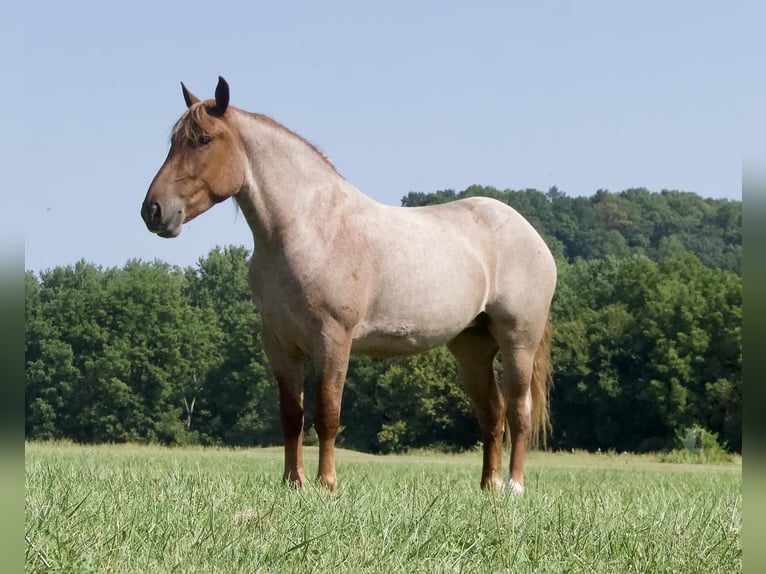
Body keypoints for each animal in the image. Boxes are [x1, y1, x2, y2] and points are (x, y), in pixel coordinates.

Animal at [141, 76, 560, 496]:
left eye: (203, 140)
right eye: (174, 141)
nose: (153, 211)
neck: (308, 229)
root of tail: (531, 235)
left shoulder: (333, 340)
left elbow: (327, 414)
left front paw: (326, 484)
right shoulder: (280, 345)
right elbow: (291, 416)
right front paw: (293, 482)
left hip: (517, 342)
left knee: (518, 412)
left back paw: (514, 487)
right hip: (471, 346)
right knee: (492, 413)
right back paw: (488, 486)